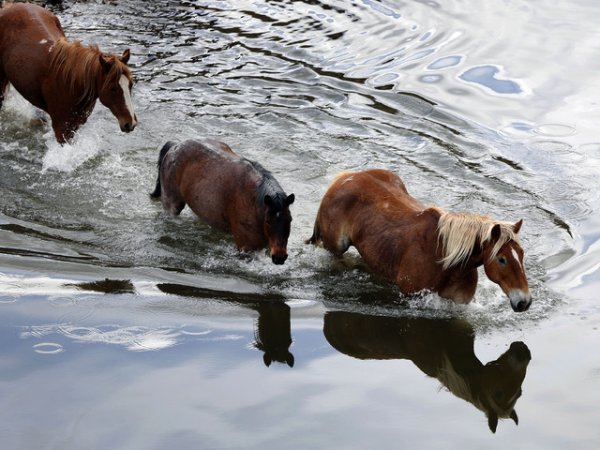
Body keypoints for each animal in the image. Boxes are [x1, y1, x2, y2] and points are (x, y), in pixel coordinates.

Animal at [0, 1, 137, 142]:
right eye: (113, 89)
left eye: (130, 85)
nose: (130, 124)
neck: (71, 83)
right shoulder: (61, 129)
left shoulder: (76, 124)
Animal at [150, 140, 296, 264]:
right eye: (268, 221)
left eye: (289, 220)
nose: (279, 257)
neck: (253, 202)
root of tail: (175, 146)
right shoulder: (245, 248)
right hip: (171, 204)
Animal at [308, 169, 532, 312]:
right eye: (502, 259)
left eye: (522, 255)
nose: (525, 302)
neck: (445, 259)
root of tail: (346, 177)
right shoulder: (411, 295)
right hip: (335, 248)